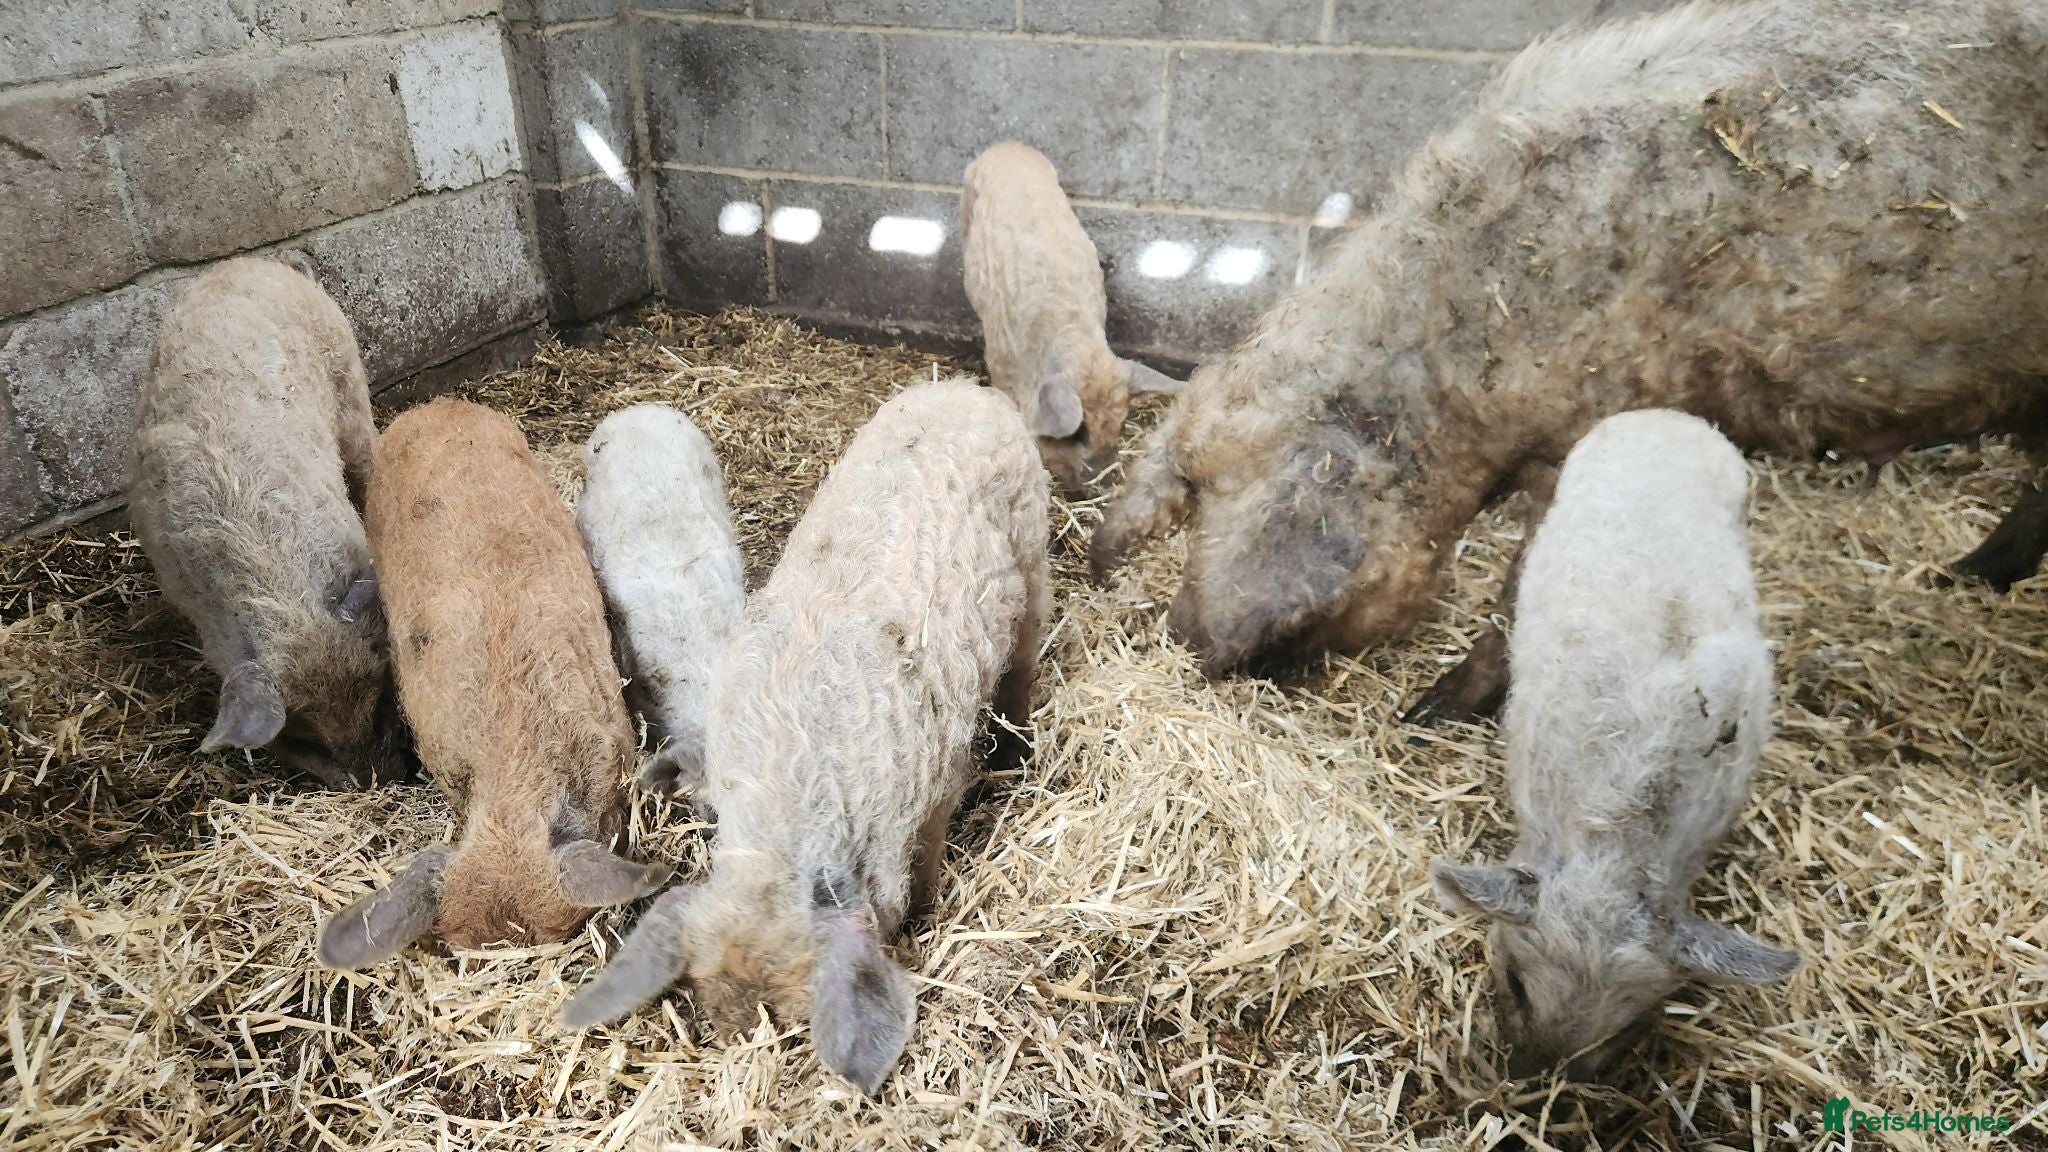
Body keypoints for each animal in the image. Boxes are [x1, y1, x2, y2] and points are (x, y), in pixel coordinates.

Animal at [1089, 0, 2048, 716]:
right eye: (1193, 493)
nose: (1189, 640)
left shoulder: (1595, 421)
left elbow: (1530, 582)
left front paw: (1429, 713)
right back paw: (1960, 577)